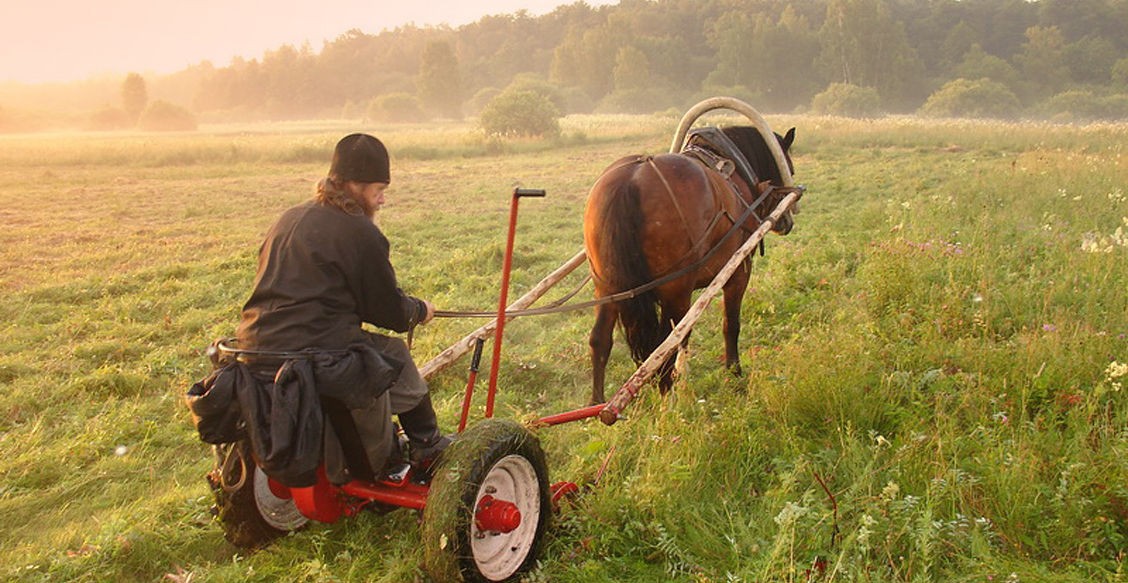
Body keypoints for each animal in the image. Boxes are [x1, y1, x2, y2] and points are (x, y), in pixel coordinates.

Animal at [586, 125, 798, 401]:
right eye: (789, 169)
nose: (787, 223)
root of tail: (631, 181)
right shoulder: (738, 273)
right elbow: (730, 325)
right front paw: (734, 373)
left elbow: (685, 331)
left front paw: (682, 373)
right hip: (673, 289)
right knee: (662, 344)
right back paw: (668, 399)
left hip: (609, 288)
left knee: (600, 340)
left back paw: (598, 403)